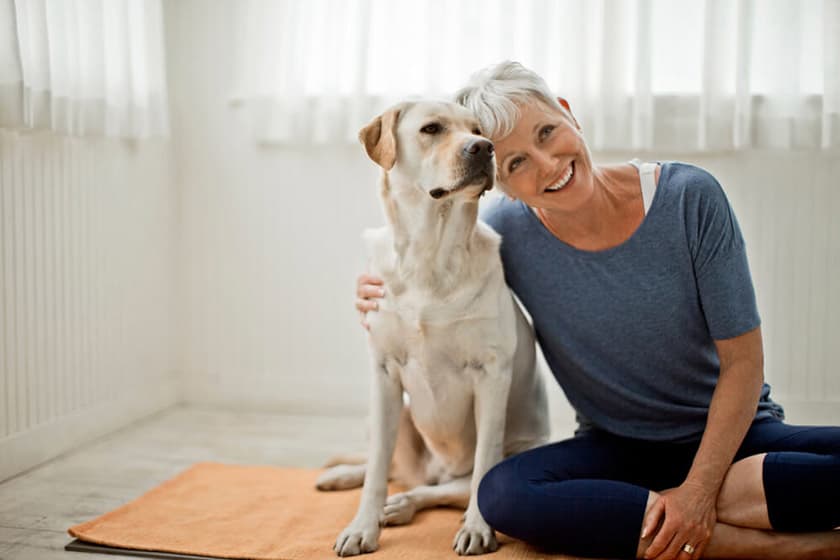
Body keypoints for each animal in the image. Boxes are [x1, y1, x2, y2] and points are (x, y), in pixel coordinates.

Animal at [318, 99, 548, 556]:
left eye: (479, 130)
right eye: (431, 129)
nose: (484, 148)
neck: (430, 255)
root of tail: (436, 470)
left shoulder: (491, 375)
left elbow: (483, 470)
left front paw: (477, 529)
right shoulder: (384, 373)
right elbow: (376, 468)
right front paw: (361, 527)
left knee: (437, 489)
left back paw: (402, 506)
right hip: (396, 414)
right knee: (390, 467)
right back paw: (345, 478)